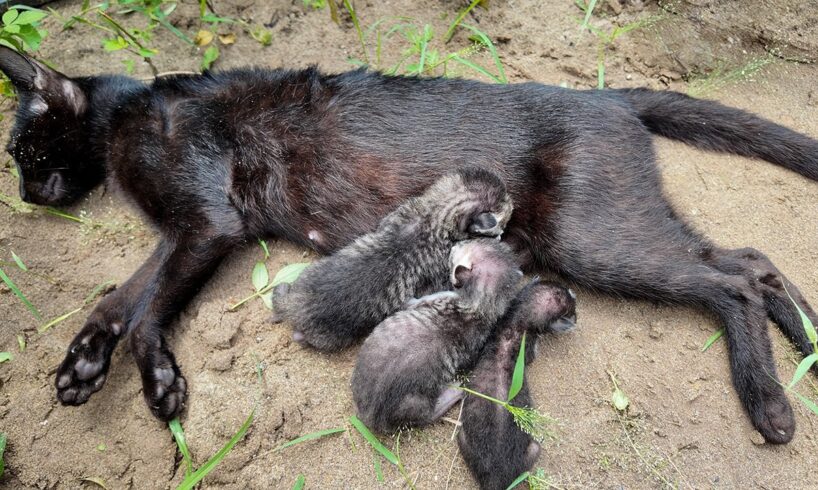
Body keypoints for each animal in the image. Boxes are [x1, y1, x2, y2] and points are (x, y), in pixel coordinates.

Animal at [350, 239, 516, 434]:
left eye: (462, 247)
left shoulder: (438, 298)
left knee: (429, 415)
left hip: (416, 402)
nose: (454, 245)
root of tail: (371, 416)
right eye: (471, 241)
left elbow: (412, 303)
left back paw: (454, 390)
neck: (480, 308)